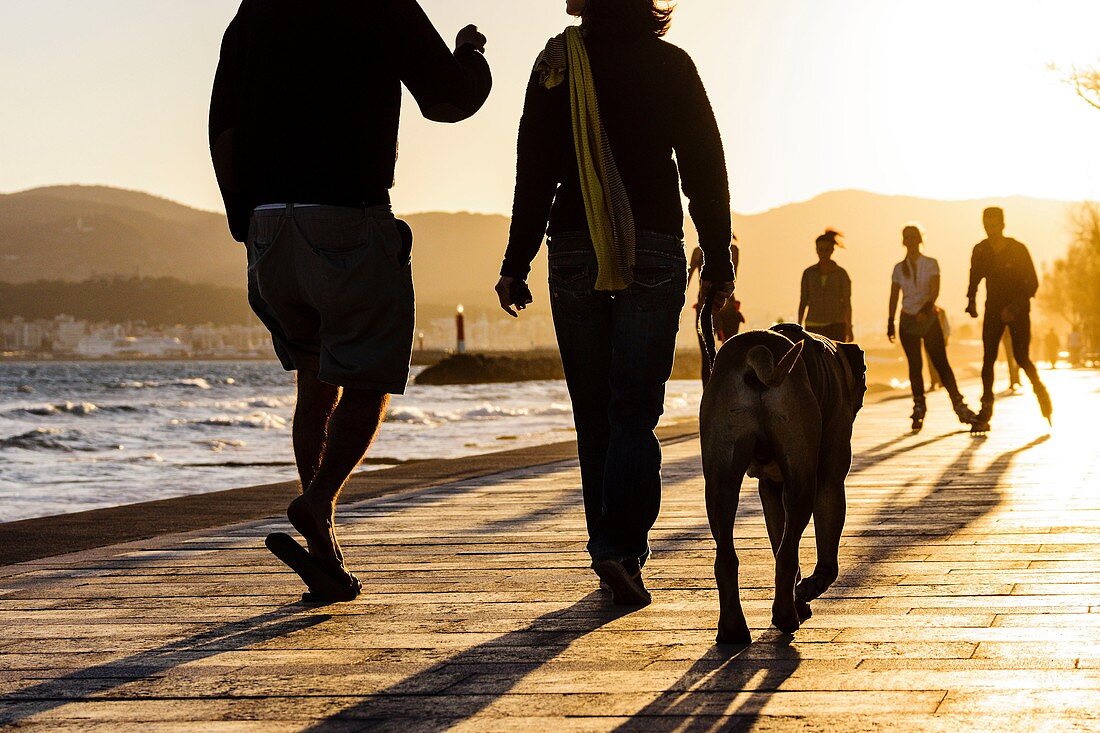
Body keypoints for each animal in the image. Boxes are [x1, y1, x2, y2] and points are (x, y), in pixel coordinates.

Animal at [699, 319, 862, 638]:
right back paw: (786, 616)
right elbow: (826, 555)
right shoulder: (830, 479)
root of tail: (756, 351)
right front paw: (810, 587)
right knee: (787, 554)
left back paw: (733, 629)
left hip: (720, 477)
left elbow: (777, 531)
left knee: (729, 554)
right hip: (803, 479)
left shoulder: (770, 488)